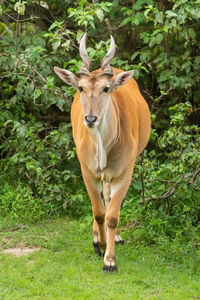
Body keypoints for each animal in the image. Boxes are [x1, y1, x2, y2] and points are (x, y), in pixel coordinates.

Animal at [54, 32, 151, 272]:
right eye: (80, 88)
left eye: (106, 89)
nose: (90, 118)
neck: (103, 146)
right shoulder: (87, 171)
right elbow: (98, 212)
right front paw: (100, 245)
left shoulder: (124, 172)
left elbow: (112, 215)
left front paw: (110, 259)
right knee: (98, 203)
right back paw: (98, 237)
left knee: (107, 198)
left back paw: (114, 237)